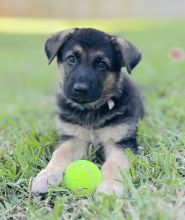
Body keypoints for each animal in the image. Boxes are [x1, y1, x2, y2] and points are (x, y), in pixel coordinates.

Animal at [31, 28, 145, 195]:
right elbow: (59, 154)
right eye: (71, 58)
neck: (91, 110)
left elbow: (113, 166)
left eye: (102, 64)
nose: (80, 89)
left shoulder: (121, 143)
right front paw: (47, 176)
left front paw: (109, 188)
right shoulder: (73, 137)